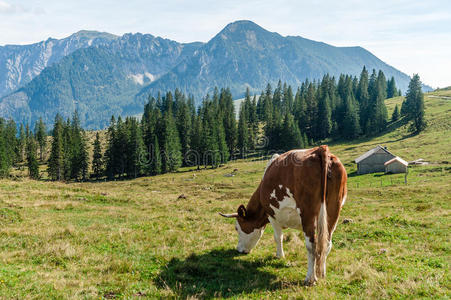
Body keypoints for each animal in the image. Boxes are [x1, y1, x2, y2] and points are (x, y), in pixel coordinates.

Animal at [221, 146, 348, 286]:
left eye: (237, 228)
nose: (238, 249)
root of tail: (320, 149)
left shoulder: (272, 215)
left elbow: (278, 237)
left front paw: (279, 256)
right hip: (334, 210)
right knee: (326, 242)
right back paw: (322, 274)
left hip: (307, 214)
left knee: (312, 245)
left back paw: (310, 278)